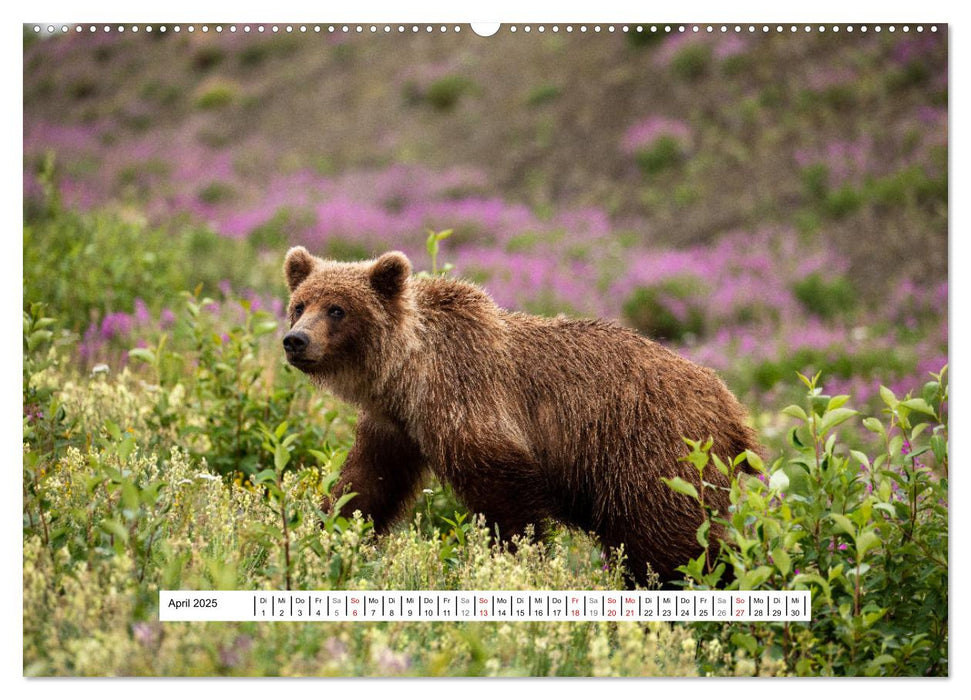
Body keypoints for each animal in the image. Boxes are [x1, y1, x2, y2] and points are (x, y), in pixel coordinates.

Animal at [284, 246, 764, 584]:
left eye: (337, 308)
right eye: (300, 304)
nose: (295, 340)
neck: (409, 372)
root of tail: (733, 408)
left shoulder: (466, 397)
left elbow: (508, 498)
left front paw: (515, 562)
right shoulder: (394, 425)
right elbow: (364, 487)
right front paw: (323, 535)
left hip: (655, 453)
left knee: (675, 546)